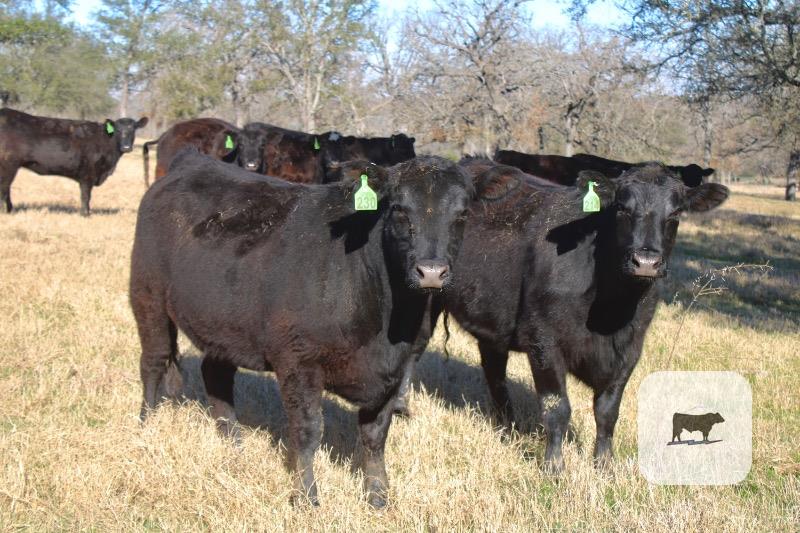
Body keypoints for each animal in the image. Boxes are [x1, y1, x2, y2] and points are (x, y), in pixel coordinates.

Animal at [0, 107, 148, 216]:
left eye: (133, 129)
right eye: (117, 129)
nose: (126, 147)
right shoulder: (88, 173)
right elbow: (86, 195)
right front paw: (85, 214)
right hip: (8, 165)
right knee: (4, 188)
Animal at [130, 150, 515, 507]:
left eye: (462, 215)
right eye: (399, 210)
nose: (431, 272)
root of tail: (192, 161)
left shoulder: (397, 368)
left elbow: (376, 435)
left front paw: (378, 495)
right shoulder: (298, 361)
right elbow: (308, 431)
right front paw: (306, 496)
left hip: (223, 323)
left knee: (216, 374)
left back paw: (233, 442)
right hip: (148, 297)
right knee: (154, 361)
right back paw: (146, 426)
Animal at [397, 158, 728, 472]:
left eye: (676, 214)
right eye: (622, 208)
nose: (645, 261)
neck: (610, 314)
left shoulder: (630, 350)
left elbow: (608, 412)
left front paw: (605, 465)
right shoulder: (543, 341)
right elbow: (557, 408)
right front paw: (554, 467)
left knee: (494, 370)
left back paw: (507, 426)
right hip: (426, 294)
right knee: (415, 349)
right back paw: (402, 408)